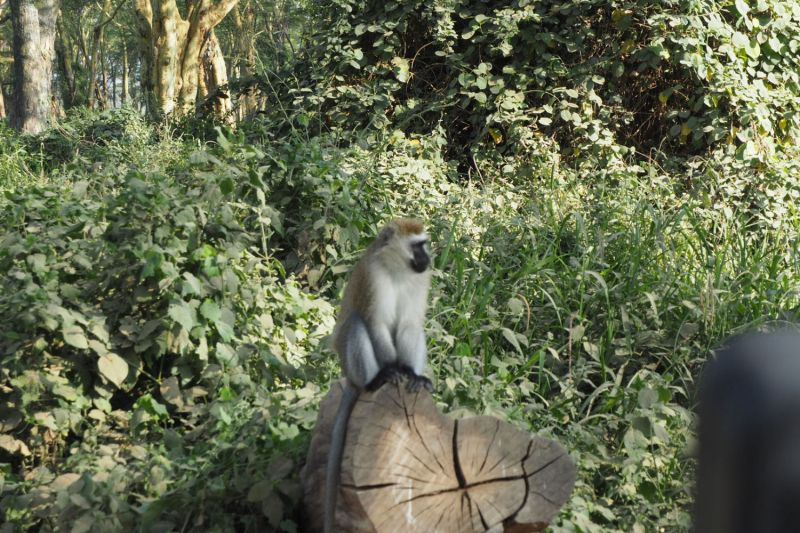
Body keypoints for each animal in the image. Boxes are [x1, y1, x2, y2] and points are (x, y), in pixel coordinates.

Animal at [324, 217, 434, 532]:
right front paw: (393, 371)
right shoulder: (373, 277)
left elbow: (409, 324)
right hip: (351, 366)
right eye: (417, 246)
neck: (397, 270)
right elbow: (375, 323)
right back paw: (376, 380)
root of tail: (350, 379)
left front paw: (411, 373)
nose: (428, 259)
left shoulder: (420, 279)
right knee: (356, 322)